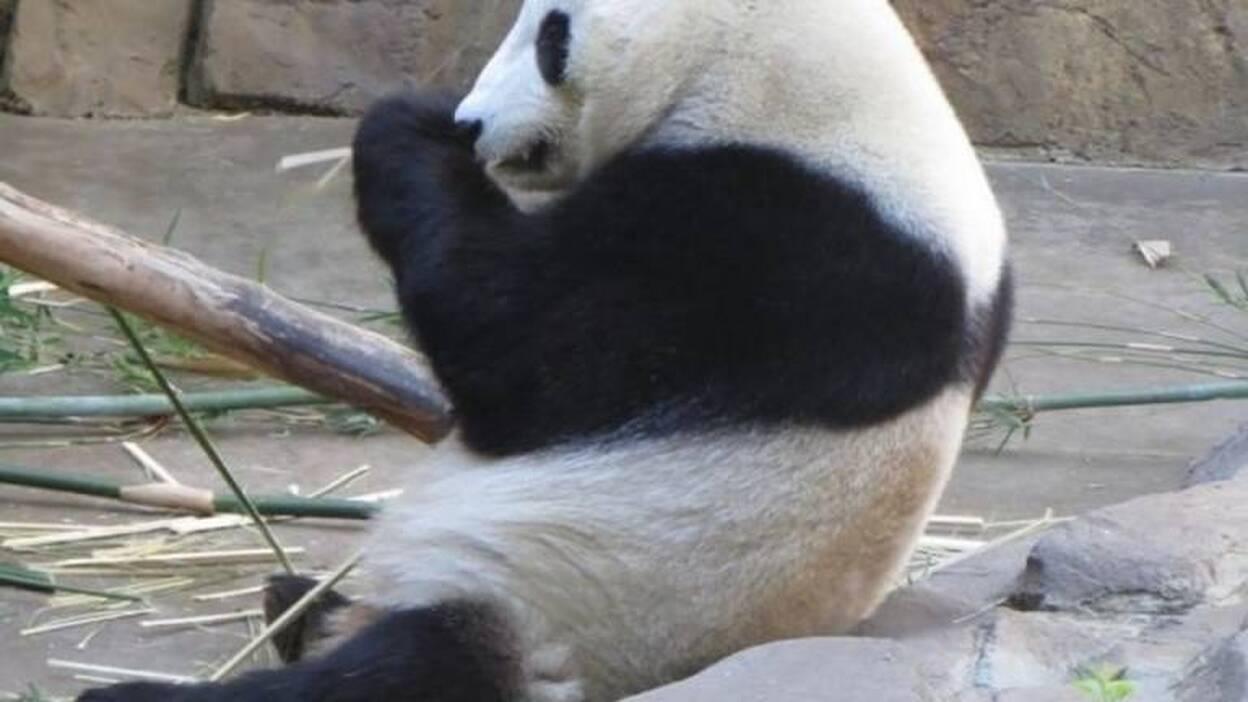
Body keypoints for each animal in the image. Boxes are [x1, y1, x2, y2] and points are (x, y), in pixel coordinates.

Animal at [82, 0, 1011, 700]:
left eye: (550, 36)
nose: (473, 121)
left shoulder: (784, 241)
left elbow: (521, 348)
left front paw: (407, 123)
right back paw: (303, 606)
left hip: (547, 612)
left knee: (404, 674)